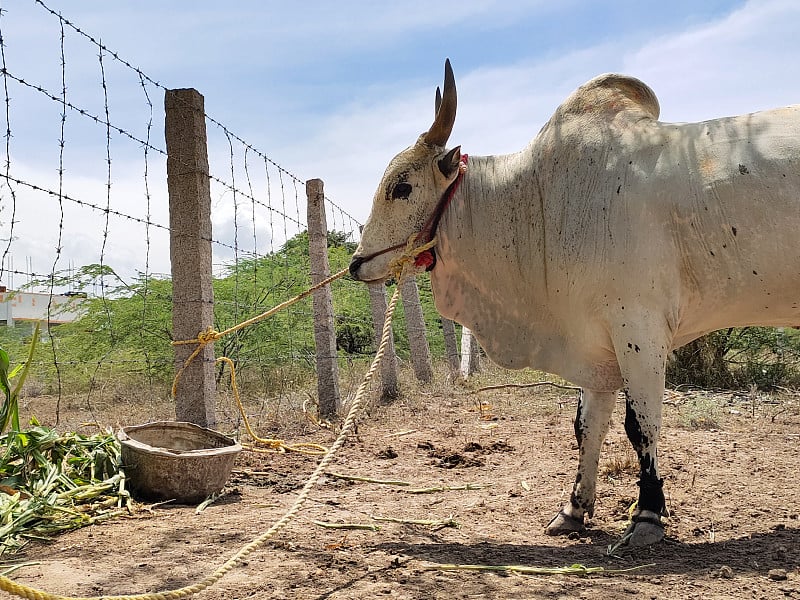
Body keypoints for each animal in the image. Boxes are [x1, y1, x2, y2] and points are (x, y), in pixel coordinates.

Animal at [350, 62, 800, 548]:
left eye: (402, 187)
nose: (356, 264)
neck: (538, 204)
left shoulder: (638, 328)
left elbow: (641, 425)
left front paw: (647, 515)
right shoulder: (595, 341)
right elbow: (587, 426)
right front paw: (574, 509)